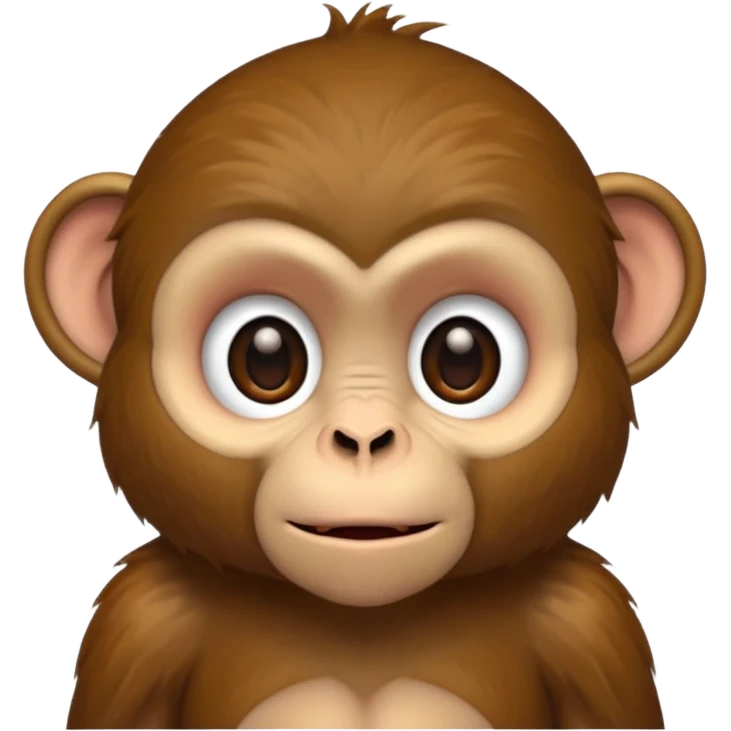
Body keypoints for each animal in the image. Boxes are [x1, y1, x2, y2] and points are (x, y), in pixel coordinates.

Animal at [24, 2, 706, 729]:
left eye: (461, 356)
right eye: (265, 356)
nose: (362, 437)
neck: (364, 623)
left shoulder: (584, 619)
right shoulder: (144, 620)